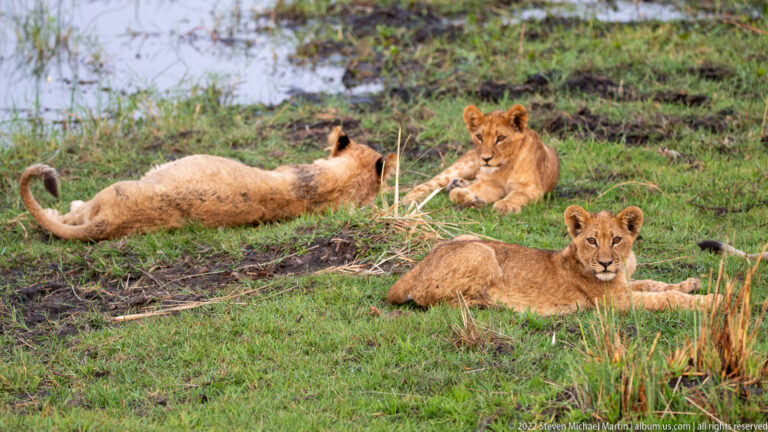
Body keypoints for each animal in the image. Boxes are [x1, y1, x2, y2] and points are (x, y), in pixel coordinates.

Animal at [387, 205, 721, 314]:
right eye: (591, 240)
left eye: (616, 239)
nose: (604, 263)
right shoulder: (613, 303)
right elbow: (666, 298)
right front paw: (713, 300)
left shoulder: (625, 284)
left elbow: (655, 284)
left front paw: (692, 283)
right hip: (481, 251)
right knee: (436, 301)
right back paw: (488, 303)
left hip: (468, 237)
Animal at [403, 104, 559, 214]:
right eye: (479, 137)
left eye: (500, 138)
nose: (486, 159)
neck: (505, 167)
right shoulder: (491, 184)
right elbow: (455, 194)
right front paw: (472, 198)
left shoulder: (533, 188)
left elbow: (517, 194)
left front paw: (504, 205)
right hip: (463, 166)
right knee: (427, 184)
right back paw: (408, 200)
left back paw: (457, 183)